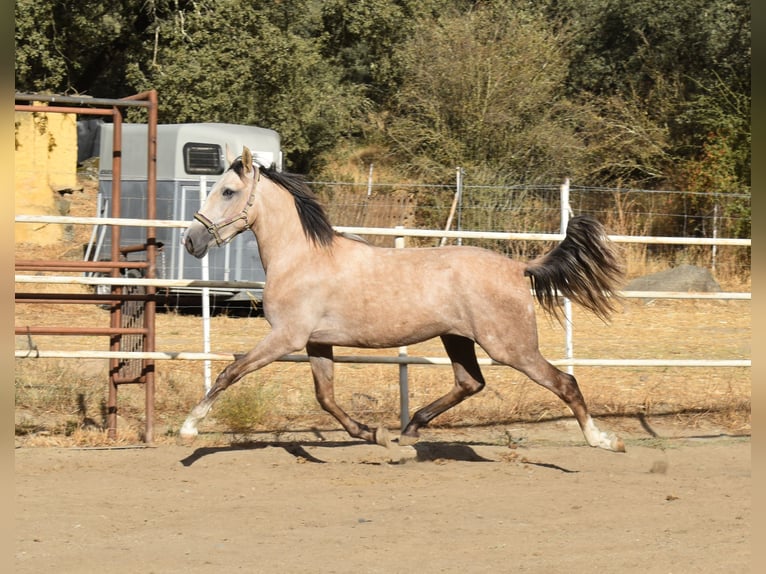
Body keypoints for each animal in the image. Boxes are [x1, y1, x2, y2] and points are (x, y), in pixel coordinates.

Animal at [182, 147, 632, 454]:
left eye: (228, 191)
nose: (192, 240)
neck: (301, 257)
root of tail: (519, 267)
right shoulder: (316, 342)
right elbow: (325, 397)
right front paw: (372, 433)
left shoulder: (286, 337)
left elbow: (231, 372)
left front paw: (190, 428)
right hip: (457, 338)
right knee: (471, 382)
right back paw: (410, 429)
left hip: (511, 347)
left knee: (565, 382)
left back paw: (605, 441)